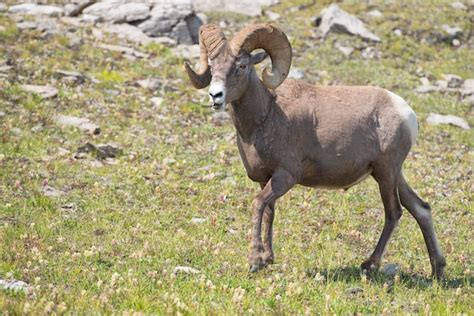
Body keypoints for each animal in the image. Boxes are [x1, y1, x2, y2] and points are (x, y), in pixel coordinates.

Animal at [183, 23, 446, 278]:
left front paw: (255, 261)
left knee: (394, 212)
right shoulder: (266, 180)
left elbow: (258, 205)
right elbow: (269, 212)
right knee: (421, 209)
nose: (215, 96)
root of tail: (406, 113)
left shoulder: (285, 176)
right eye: (213, 65)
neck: (266, 115)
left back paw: (370, 264)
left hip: (386, 173)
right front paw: (268, 259)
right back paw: (438, 270)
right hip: (391, 175)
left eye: (241, 65)